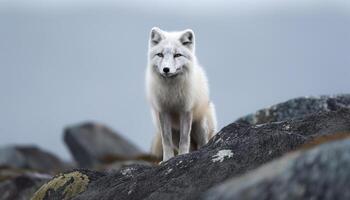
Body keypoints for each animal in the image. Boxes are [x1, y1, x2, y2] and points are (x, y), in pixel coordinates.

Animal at [145, 27, 216, 161]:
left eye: (177, 55)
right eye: (160, 54)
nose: (166, 69)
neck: (171, 92)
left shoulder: (186, 110)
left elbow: (184, 139)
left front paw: (183, 156)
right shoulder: (163, 111)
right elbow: (166, 141)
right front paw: (167, 160)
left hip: (200, 126)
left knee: (202, 143)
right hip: (174, 132)